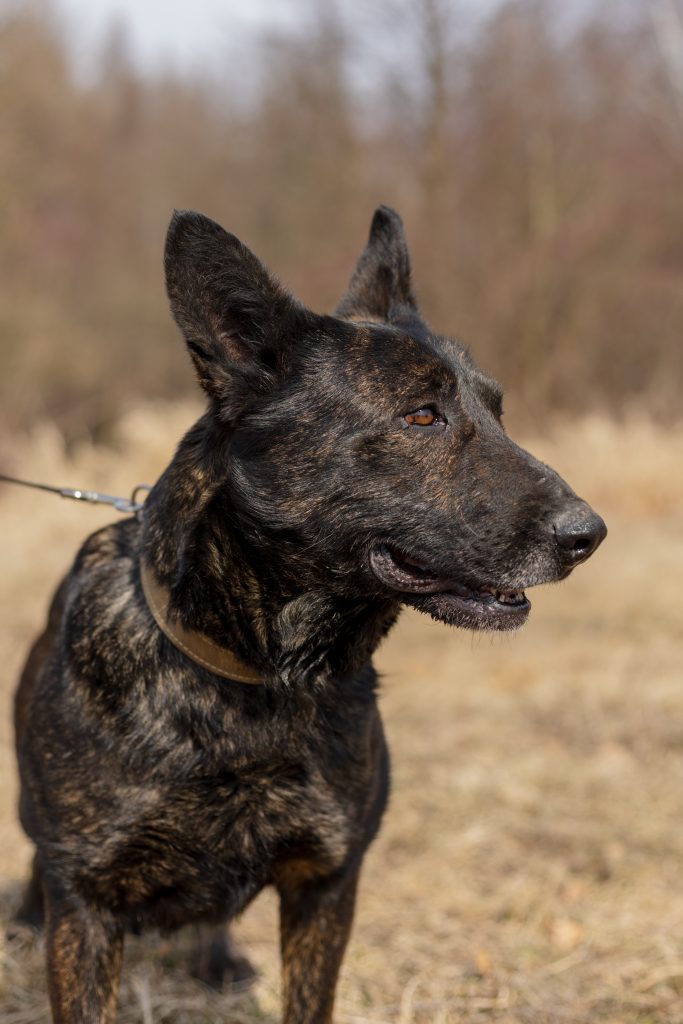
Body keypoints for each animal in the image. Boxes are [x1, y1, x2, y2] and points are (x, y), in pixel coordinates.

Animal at [13, 206, 606, 1023]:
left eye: (498, 413)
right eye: (421, 415)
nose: (588, 535)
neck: (262, 682)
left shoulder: (325, 886)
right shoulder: (88, 907)